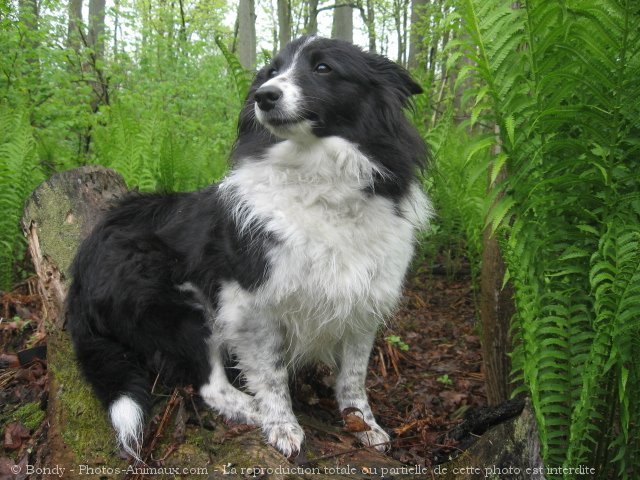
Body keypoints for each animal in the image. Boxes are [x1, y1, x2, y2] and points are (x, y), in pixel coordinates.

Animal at [65, 36, 432, 458]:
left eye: (323, 68)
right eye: (272, 71)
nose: (264, 96)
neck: (318, 179)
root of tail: (79, 274)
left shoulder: (363, 303)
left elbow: (353, 377)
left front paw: (363, 424)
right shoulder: (251, 304)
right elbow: (272, 375)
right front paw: (282, 425)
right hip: (183, 307)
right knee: (210, 387)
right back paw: (252, 409)